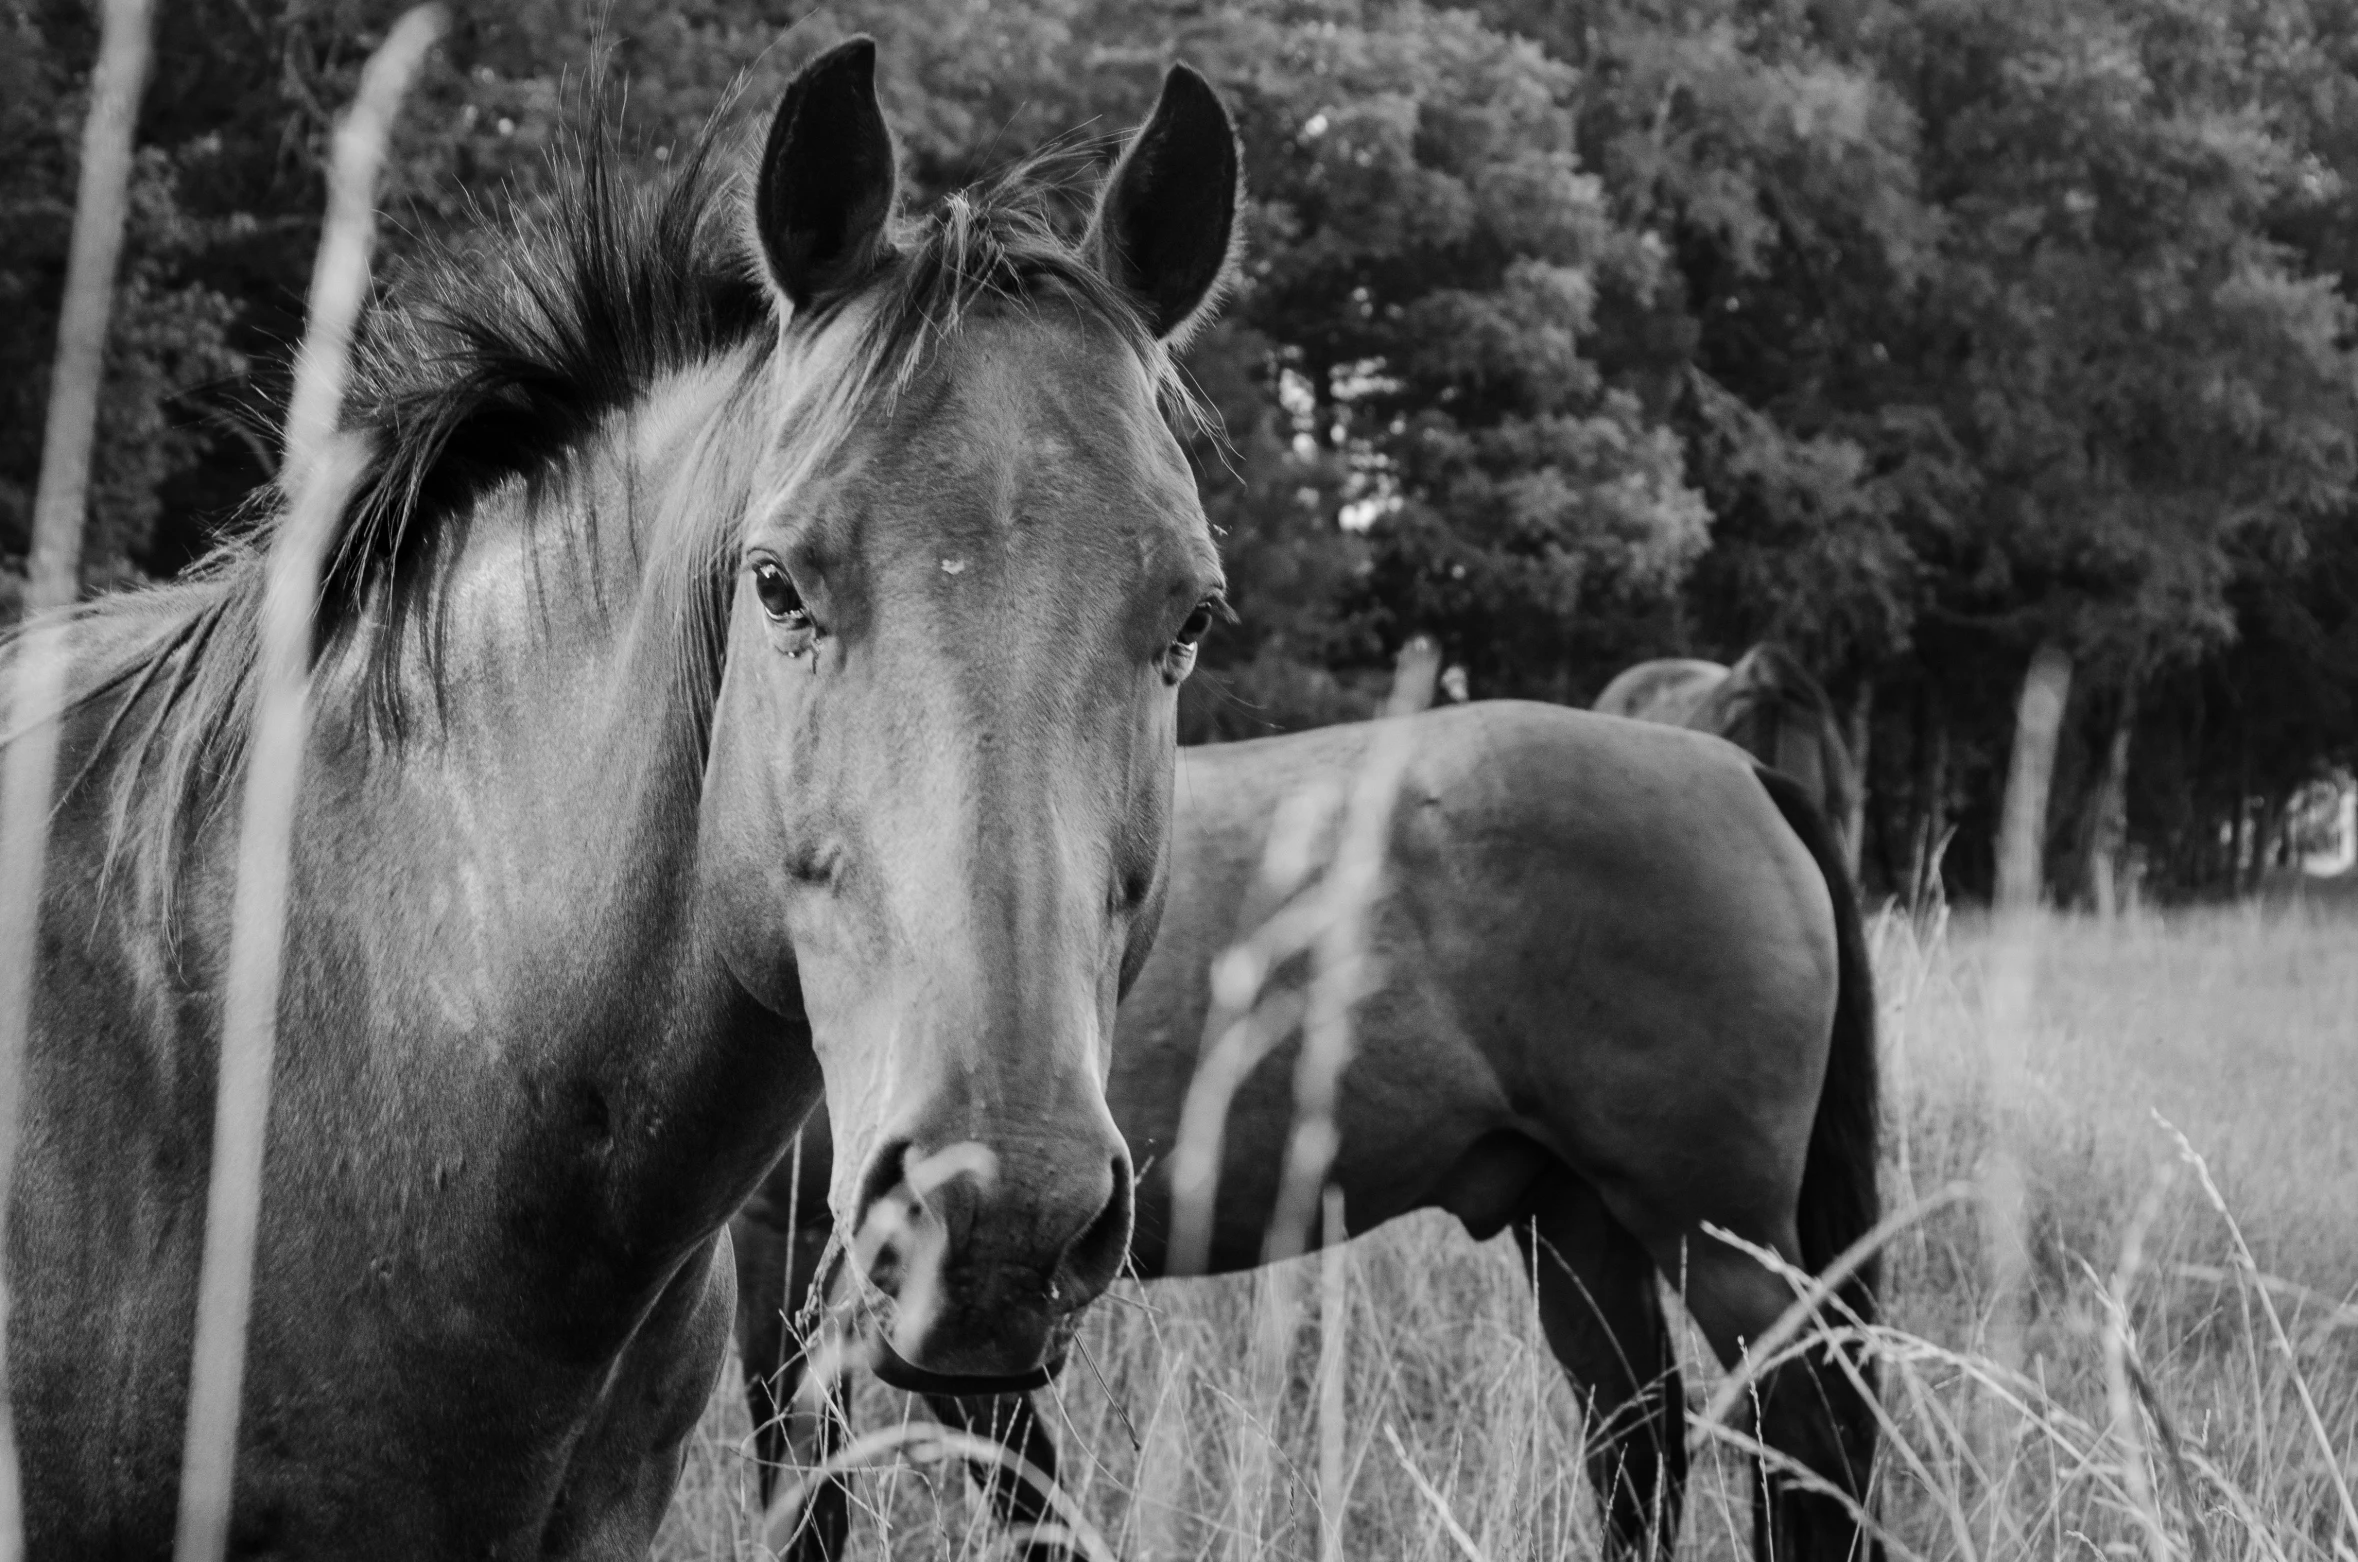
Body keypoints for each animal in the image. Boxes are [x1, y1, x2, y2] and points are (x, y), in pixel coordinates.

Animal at [735, 698, 1876, 1562]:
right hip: (1574, 1222)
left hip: (1722, 1244)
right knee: (1636, 1440)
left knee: (1811, 1442)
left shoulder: (805, 1253)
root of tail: (1736, 769)